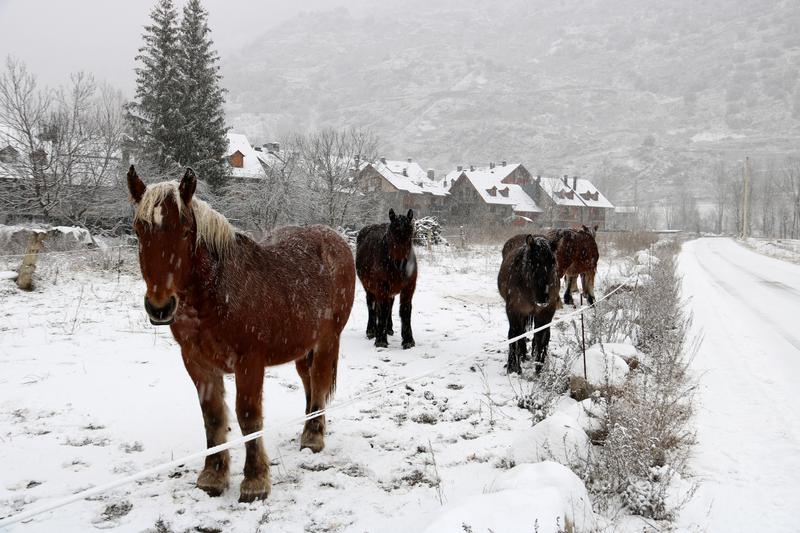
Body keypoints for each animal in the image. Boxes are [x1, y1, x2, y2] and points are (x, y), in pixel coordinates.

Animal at [126, 166, 354, 502]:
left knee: (321, 381)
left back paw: (313, 436)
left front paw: (255, 480)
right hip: (303, 347)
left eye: (185, 231)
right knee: (310, 382)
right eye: (139, 231)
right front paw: (213, 475)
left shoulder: (250, 362)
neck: (218, 292)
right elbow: (213, 417)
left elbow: (248, 417)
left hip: (327, 341)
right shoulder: (197, 362)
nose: (160, 306)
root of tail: (334, 238)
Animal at [356, 208, 418, 350]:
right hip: (369, 287)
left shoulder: (409, 288)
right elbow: (382, 310)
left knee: (390, 305)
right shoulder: (381, 288)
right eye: (392, 233)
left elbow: (405, 311)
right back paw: (371, 331)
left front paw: (408, 340)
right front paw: (380, 340)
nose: (401, 263)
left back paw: (389, 328)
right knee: (372, 306)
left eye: (410, 232)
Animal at [496, 233, 560, 374]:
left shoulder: (546, 312)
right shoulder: (514, 310)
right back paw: (522, 354)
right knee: (520, 332)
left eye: (553, 261)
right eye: (532, 262)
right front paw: (513, 366)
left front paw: (539, 367)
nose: (543, 298)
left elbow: (542, 336)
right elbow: (514, 334)